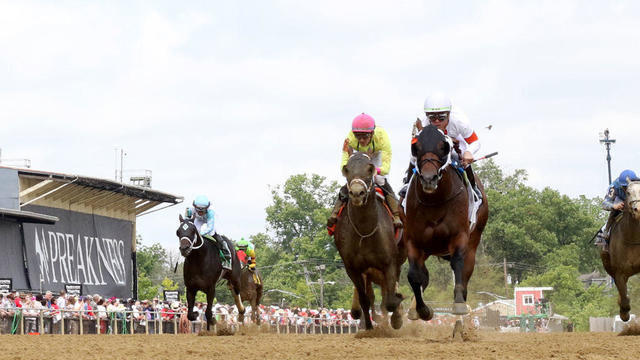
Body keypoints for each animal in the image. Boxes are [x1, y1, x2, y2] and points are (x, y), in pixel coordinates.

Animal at [404, 124, 490, 320]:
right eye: (415, 147)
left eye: (444, 147)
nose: (429, 179)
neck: (434, 202)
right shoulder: (413, 241)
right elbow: (414, 275)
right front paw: (421, 309)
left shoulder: (459, 236)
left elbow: (457, 263)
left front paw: (458, 304)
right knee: (423, 275)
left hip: (473, 242)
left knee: (465, 274)